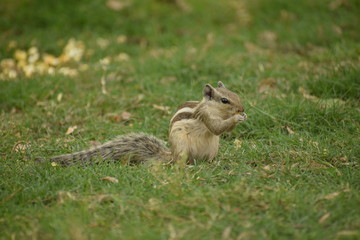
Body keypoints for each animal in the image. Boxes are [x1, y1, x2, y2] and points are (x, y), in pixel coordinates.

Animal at [47, 81, 248, 166]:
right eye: (224, 100)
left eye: (235, 94)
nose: (242, 108)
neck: (212, 108)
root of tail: (171, 154)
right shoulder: (205, 116)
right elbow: (216, 127)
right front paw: (237, 118)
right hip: (182, 144)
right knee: (181, 161)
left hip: (213, 147)